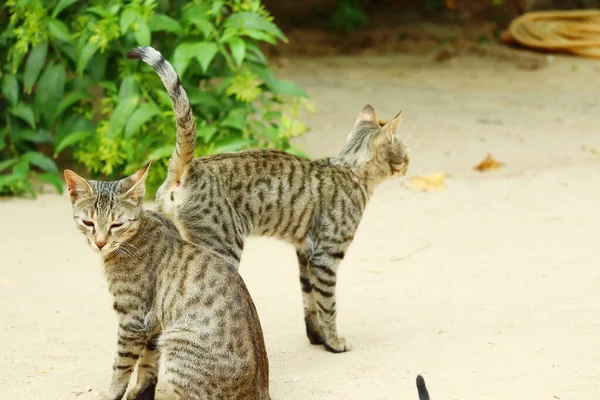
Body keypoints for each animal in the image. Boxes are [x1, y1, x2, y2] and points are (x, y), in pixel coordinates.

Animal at [64, 163, 268, 400]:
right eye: (88, 222)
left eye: (117, 224)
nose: (100, 243)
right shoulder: (153, 325)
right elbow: (147, 364)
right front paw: (139, 390)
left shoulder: (132, 318)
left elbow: (121, 365)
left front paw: (112, 393)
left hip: (175, 342)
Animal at [126, 46, 408, 354]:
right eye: (405, 153)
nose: (409, 164)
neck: (348, 167)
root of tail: (190, 167)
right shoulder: (326, 256)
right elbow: (328, 305)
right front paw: (334, 342)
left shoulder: (305, 252)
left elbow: (309, 302)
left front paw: (317, 338)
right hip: (224, 248)